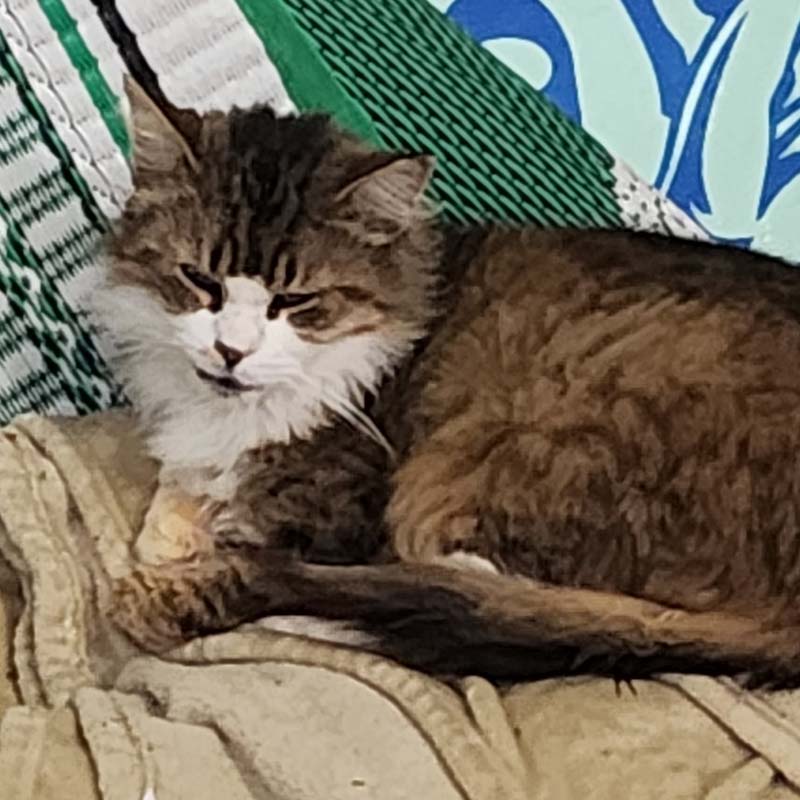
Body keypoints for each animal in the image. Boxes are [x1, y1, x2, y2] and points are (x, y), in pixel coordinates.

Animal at [98, 77, 800, 686]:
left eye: (295, 301)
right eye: (199, 281)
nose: (231, 351)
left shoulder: (333, 514)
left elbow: (249, 536)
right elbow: (174, 502)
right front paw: (176, 521)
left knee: (466, 589)